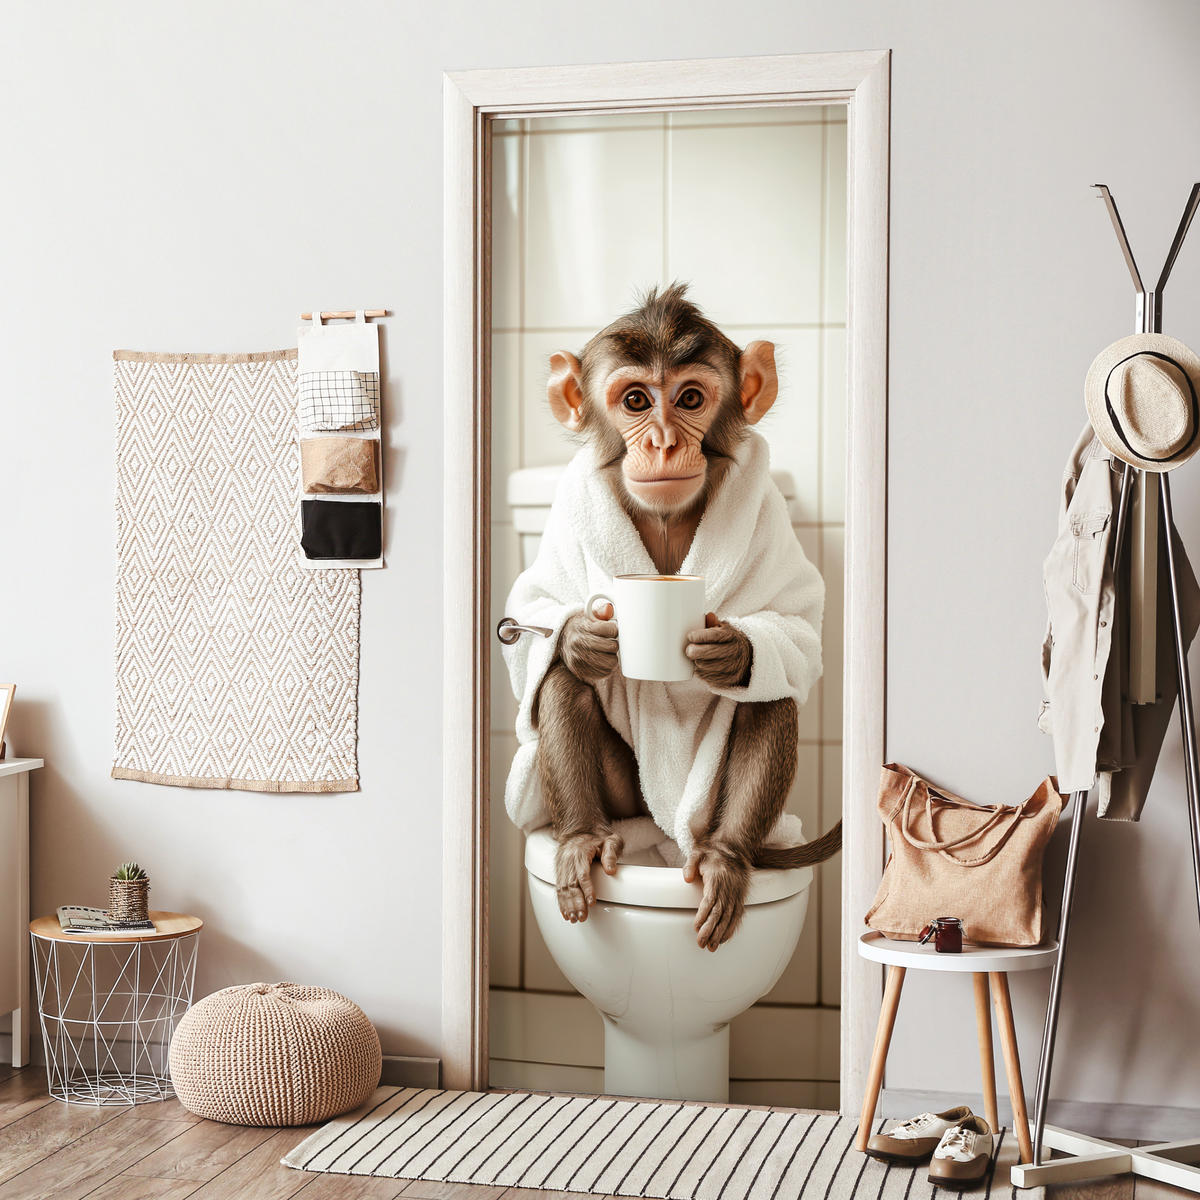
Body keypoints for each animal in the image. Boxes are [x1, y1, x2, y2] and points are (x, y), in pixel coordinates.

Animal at [508, 283, 841, 951]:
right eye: (636, 400)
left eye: (690, 398)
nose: (662, 440)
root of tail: (661, 835)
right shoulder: (563, 516)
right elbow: (532, 610)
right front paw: (581, 637)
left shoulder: (770, 514)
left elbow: (797, 625)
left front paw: (731, 651)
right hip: (625, 803)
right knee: (558, 681)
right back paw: (582, 838)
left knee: (774, 689)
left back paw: (726, 856)